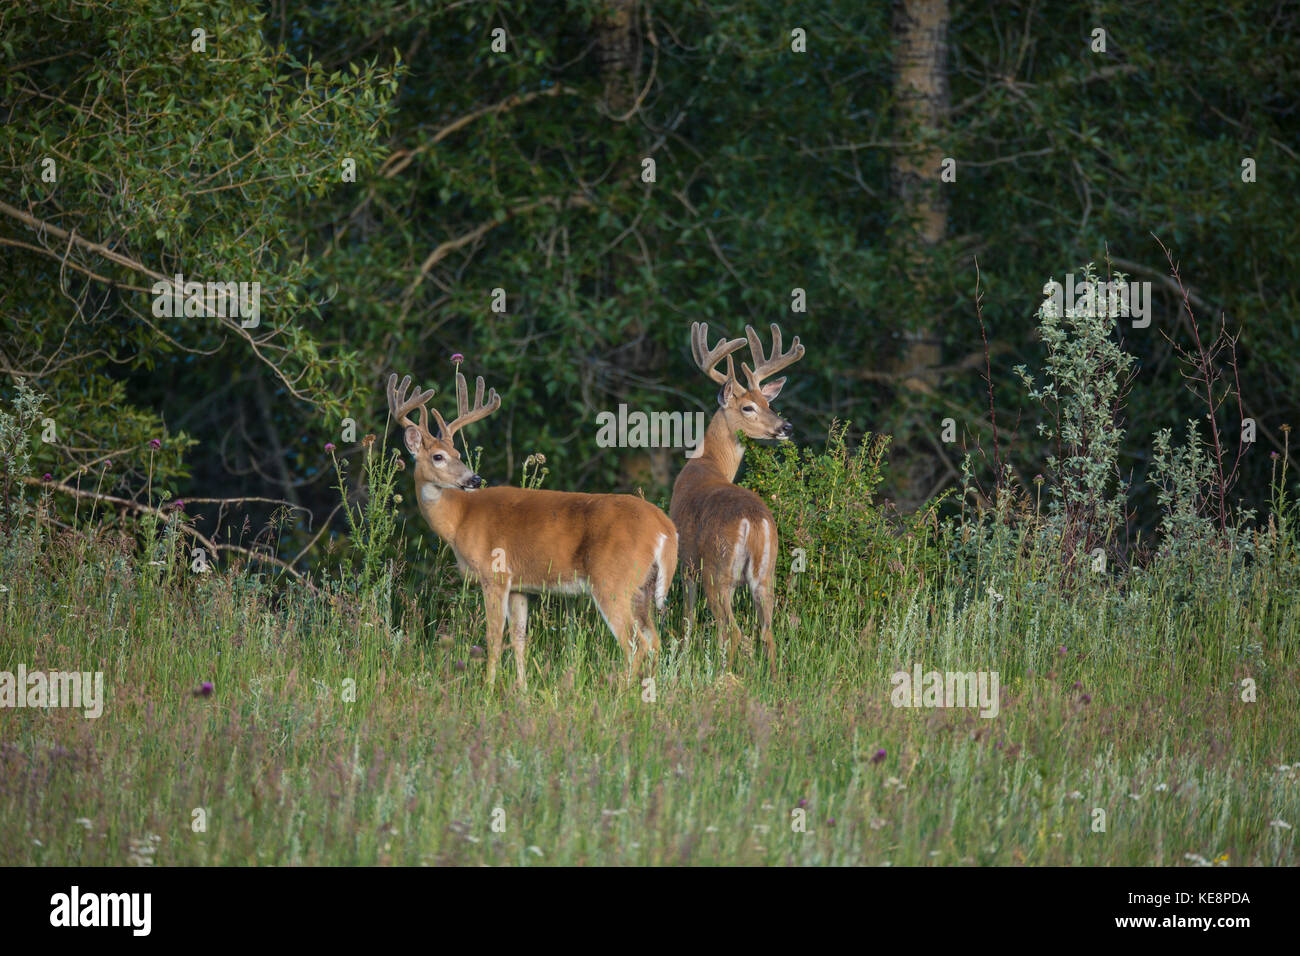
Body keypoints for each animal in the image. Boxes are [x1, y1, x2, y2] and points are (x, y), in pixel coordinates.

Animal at [384, 366, 681, 686]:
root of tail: (665, 527)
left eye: (458, 455)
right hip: (643, 587)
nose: (474, 479)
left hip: (612, 580)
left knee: (636, 644)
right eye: (439, 456)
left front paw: (488, 689)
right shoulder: (519, 586)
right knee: (655, 642)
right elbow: (519, 639)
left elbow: (493, 638)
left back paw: (621, 692)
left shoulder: (495, 575)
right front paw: (522, 689)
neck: (460, 519)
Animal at [670, 325, 800, 676]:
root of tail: (754, 522)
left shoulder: (687, 563)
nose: (785, 426)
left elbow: (687, 619)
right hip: (766, 573)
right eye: (749, 407)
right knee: (766, 632)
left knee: (732, 630)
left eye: (767, 403)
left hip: (718, 570)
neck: (708, 462)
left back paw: (726, 675)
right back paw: (771, 680)